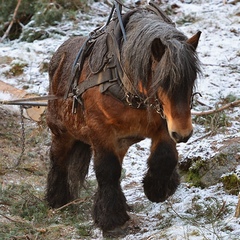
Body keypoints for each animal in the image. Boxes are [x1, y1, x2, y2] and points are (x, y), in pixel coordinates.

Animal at [45, 1, 201, 233]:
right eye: (162, 81)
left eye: (191, 79)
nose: (183, 133)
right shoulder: (100, 132)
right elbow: (107, 171)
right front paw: (111, 218)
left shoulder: (164, 124)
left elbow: (165, 155)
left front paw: (158, 189)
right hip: (63, 132)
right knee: (59, 160)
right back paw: (57, 199)